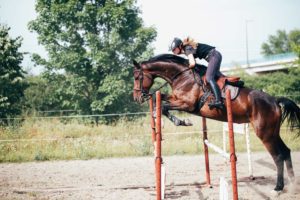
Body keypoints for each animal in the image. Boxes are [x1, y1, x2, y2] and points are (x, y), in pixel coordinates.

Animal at [132, 53, 298, 194]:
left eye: (136, 77)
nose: (137, 98)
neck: (182, 76)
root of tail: (274, 100)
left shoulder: (187, 104)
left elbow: (164, 107)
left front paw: (182, 121)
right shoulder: (176, 98)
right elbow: (159, 101)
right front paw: (163, 115)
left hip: (264, 134)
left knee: (278, 156)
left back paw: (278, 188)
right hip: (273, 132)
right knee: (286, 151)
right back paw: (293, 184)